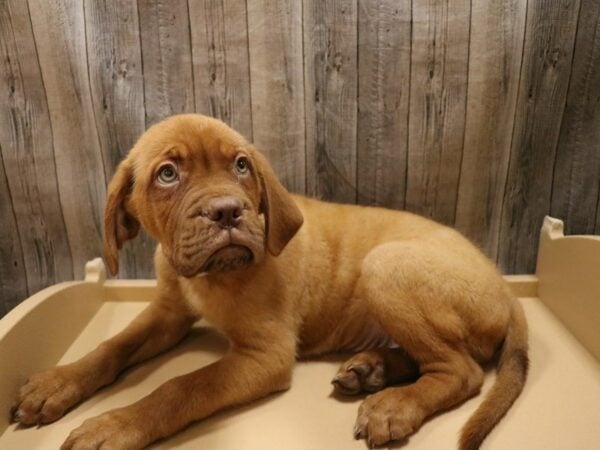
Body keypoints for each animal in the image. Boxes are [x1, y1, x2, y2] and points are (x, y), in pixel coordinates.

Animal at [11, 114, 528, 448]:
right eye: (167, 174)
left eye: (241, 165)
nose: (226, 211)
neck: (209, 277)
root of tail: (507, 290)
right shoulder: (168, 314)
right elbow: (112, 346)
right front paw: (56, 383)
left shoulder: (266, 355)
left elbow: (182, 386)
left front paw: (116, 425)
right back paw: (372, 370)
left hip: (387, 265)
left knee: (460, 370)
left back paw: (395, 404)